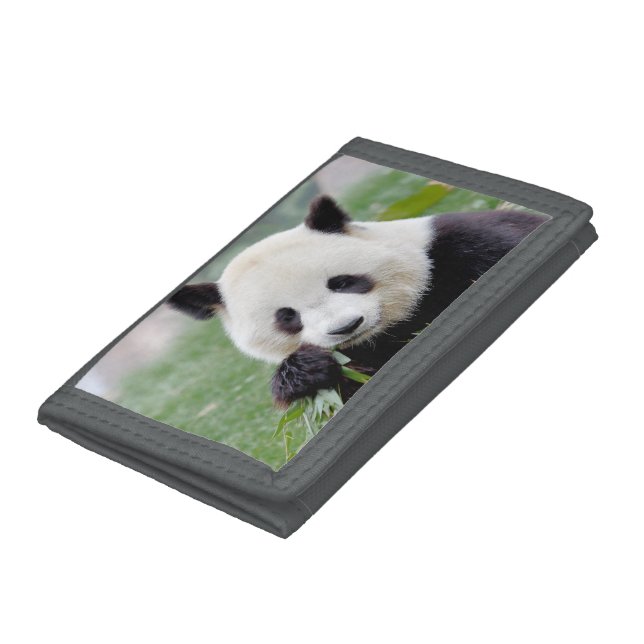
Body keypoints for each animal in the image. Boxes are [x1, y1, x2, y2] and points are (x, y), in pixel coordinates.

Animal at [168, 196, 547, 407]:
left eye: (342, 282)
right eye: (287, 317)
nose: (346, 327)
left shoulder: (456, 245)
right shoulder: (360, 354)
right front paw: (306, 372)